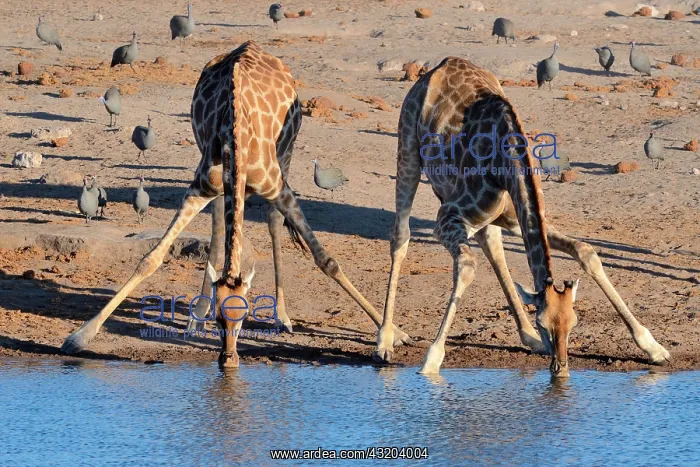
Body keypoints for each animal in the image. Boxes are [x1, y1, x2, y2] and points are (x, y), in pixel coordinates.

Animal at [61, 41, 411, 361]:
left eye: (244, 318)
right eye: (220, 318)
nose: (228, 358)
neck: (237, 140)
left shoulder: (279, 188)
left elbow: (327, 260)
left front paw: (394, 334)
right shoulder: (199, 187)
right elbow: (150, 259)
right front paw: (78, 337)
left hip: (286, 153)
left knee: (272, 221)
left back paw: (282, 316)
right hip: (216, 179)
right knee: (219, 226)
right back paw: (196, 317)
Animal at [373, 57, 671, 377]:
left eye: (574, 323)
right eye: (544, 323)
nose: (561, 369)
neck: (506, 164)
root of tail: (440, 66)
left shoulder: (518, 218)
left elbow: (586, 251)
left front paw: (653, 347)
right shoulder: (447, 217)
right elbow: (466, 267)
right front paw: (431, 361)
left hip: (490, 216)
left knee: (492, 247)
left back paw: (527, 337)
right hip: (407, 149)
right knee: (401, 236)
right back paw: (384, 341)